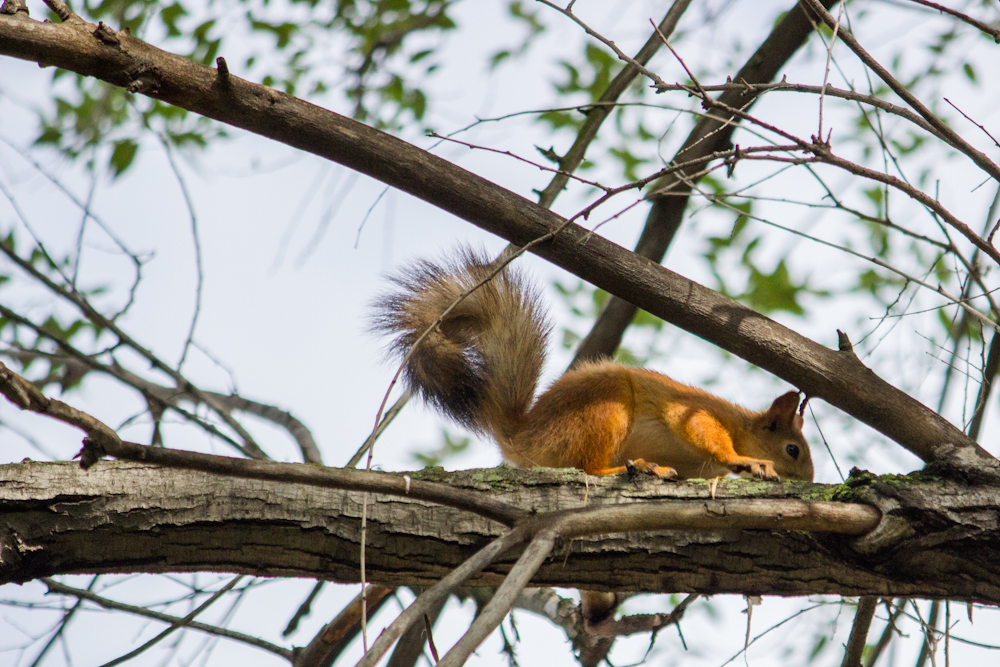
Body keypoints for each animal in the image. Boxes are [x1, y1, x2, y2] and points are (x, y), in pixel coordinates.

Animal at [372, 248, 816, 624]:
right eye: (792, 450)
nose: (809, 480)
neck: (742, 425)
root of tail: (523, 436)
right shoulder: (696, 412)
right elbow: (706, 436)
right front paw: (747, 462)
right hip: (606, 408)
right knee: (589, 468)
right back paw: (638, 468)